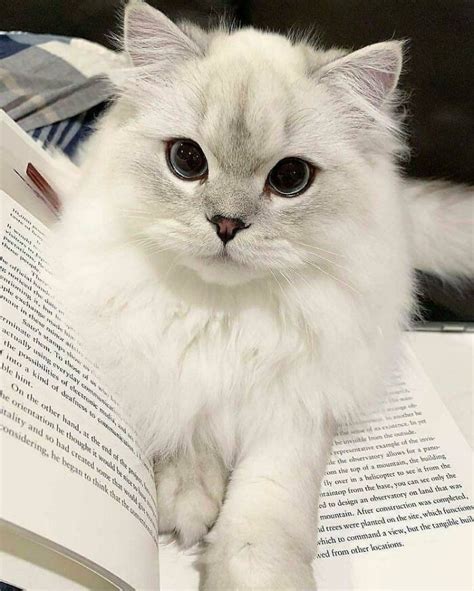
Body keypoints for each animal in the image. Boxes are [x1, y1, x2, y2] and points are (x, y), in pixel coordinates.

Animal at [50, 2, 472, 588]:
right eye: (187, 161)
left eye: (290, 177)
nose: (227, 224)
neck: (227, 314)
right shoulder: (159, 360)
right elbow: (185, 428)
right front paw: (188, 508)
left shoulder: (297, 408)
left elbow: (265, 519)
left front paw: (248, 570)